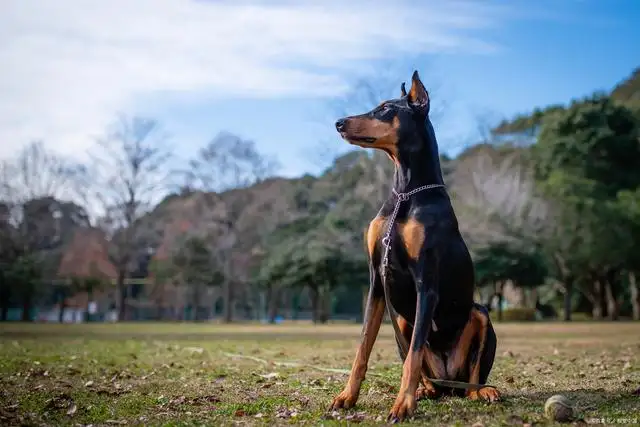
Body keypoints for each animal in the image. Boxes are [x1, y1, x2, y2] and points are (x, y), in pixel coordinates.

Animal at [330, 70, 500, 422]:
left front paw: (402, 404)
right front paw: (347, 396)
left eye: (384, 109)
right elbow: (363, 347)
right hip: (403, 321)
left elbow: (414, 355)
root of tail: (449, 380)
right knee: (430, 377)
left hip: (480, 314)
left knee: (472, 377)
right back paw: (426, 390)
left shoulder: (427, 282)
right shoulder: (376, 280)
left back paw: (482, 391)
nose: (339, 122)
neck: (406, 193)